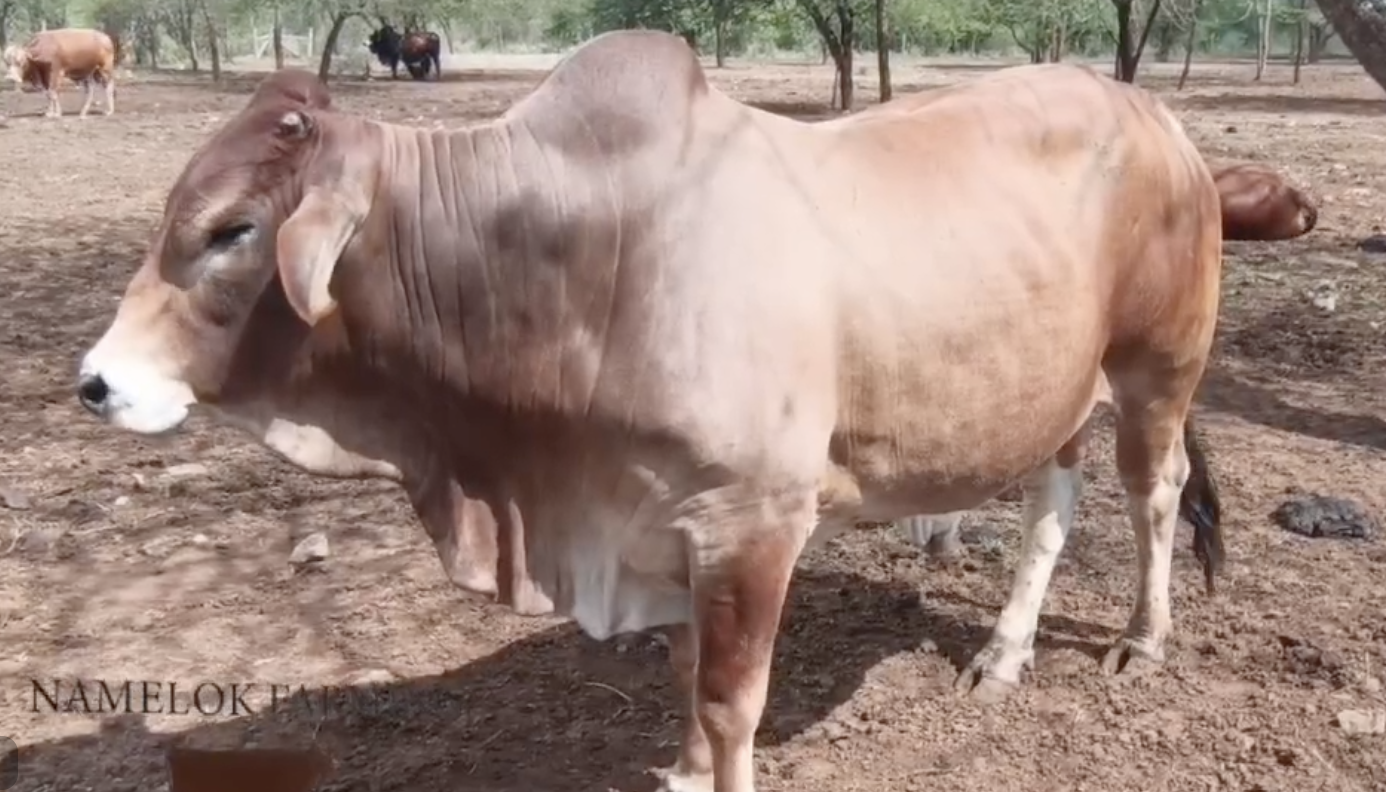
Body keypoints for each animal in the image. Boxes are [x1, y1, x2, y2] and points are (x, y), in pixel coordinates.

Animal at [76, 31, 1237, 791]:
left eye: (231, 230)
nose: (98, 381)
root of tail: (1151, 112)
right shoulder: (658, 524)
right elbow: (684, 676)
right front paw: (678, 769)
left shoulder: (752, 521)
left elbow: (731, 700)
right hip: (1057, 394)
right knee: (1052, 511)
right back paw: (1003, 652)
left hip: (1158, 368)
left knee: (1155, 495)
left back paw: (1142, 640)